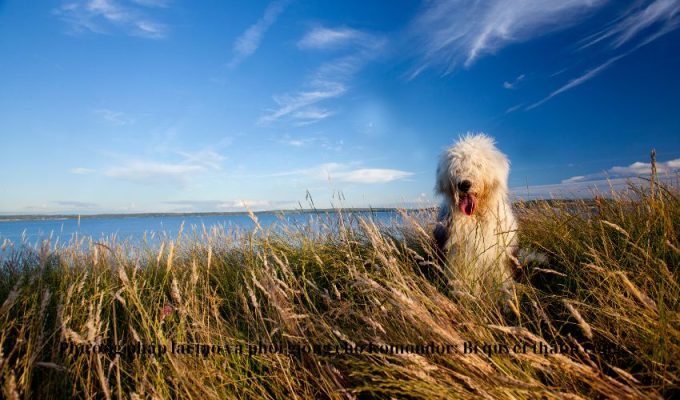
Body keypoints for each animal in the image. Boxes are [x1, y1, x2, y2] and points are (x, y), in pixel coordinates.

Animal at [432, 133, 516, 296]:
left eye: (477, 165)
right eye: (456, 168)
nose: (464, 184)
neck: (477, 216)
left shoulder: (495, 255)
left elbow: (499, 277)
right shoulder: (461, 256)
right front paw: (469, 295)